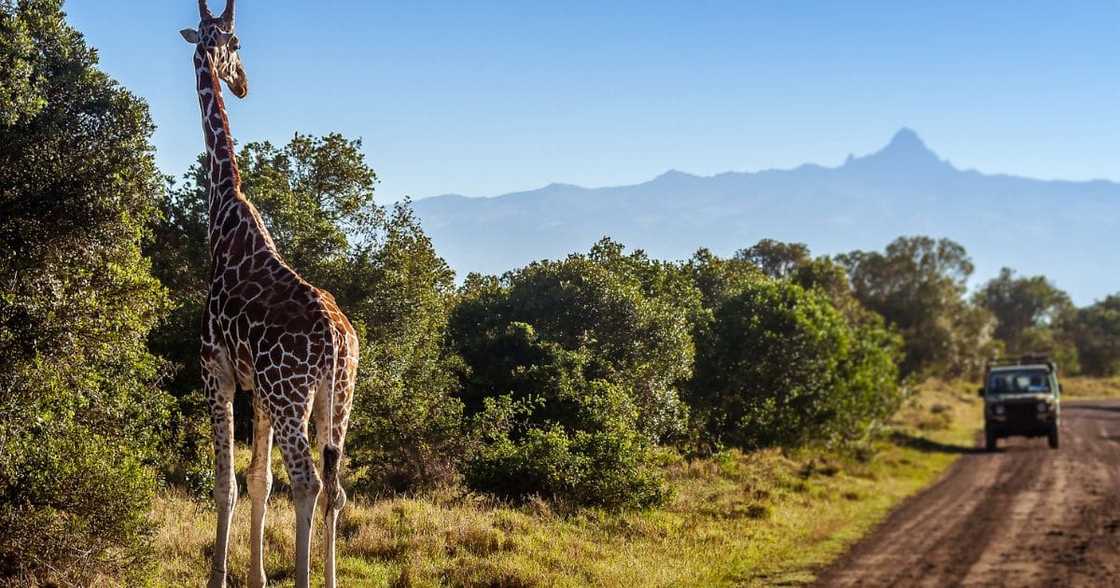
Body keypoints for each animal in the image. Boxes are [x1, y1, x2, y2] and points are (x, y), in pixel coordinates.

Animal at [181, 2, 358, 582]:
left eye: (236, 43)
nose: (241, 84)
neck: (224, 217)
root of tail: (336, 344)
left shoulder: (215, 369)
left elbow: (226, 485)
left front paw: (219, 577)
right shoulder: (256, 388)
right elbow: (258, 482)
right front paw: (256, 576)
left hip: (290, 395)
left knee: (308, 480)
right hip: (336, 400)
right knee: (335, 488)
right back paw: (328, 580)